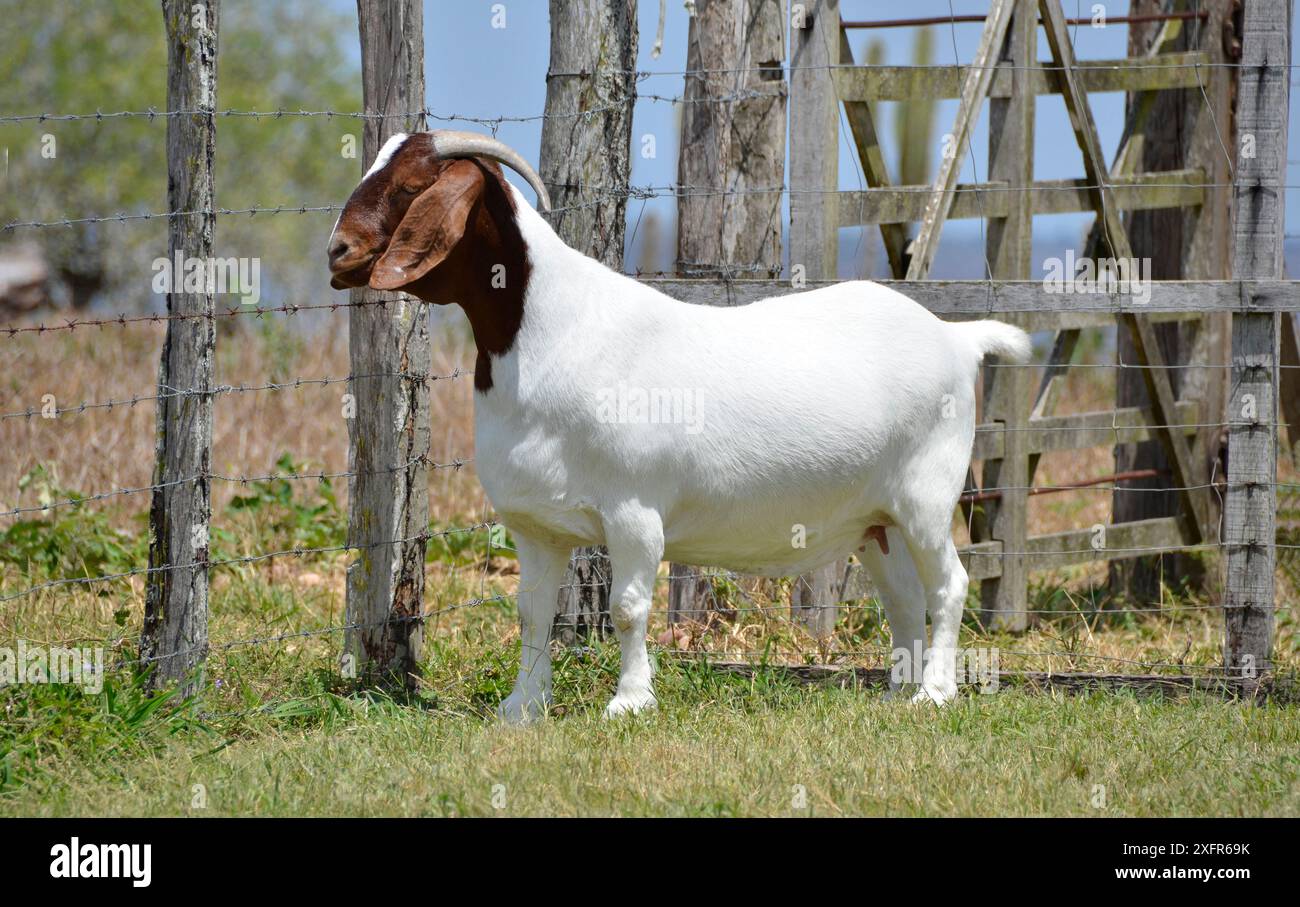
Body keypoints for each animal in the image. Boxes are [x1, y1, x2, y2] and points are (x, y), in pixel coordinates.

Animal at [322, 128, 1024, 722]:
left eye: (412, 186)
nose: (338, 250)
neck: (551, 333)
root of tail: (958, 339)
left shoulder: (635, 511)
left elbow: (629, 609)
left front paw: (629, 703)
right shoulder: (536, 527)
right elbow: (531, 614)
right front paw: (522, 709)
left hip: (926, 496)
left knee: (950, 585)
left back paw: (934, 695)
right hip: (877, 521)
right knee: (905, 598)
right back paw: (898, 692)